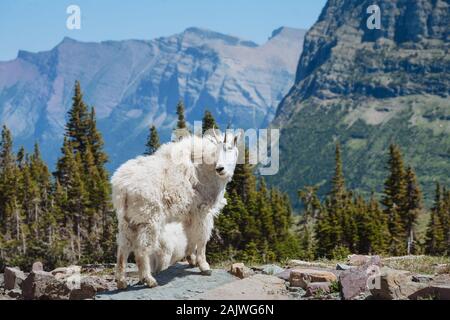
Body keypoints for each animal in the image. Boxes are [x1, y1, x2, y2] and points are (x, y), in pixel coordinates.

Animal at [111, 129, 239, 288]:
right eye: (216, 151)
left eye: (230, 148)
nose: (220, 168)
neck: (206, 168)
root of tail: (122, 188)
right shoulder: (202, 211)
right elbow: (202, 238)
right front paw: (204, 266)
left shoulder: (189, 214)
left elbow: (190, 237)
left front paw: (192, 260)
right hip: (149, 218)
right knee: (141, 249)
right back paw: (149, 279)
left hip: (127, 220)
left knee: (123, 247)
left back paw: (121, 281)